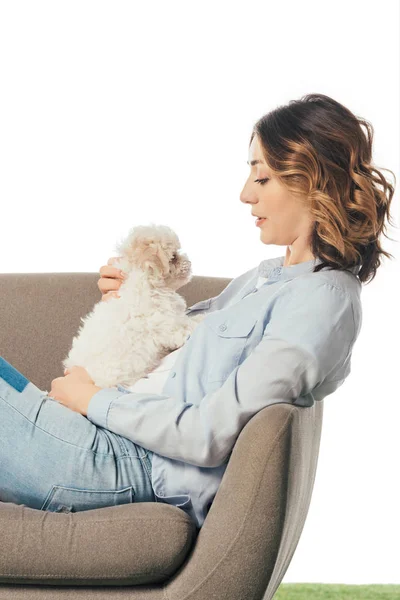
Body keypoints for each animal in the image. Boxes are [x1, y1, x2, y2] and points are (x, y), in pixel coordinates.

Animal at [63, 224, 206, 390]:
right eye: (174, 257)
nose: (189, 262)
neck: (146, 283)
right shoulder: (169, 326)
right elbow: (189, 324)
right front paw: (204, 317)